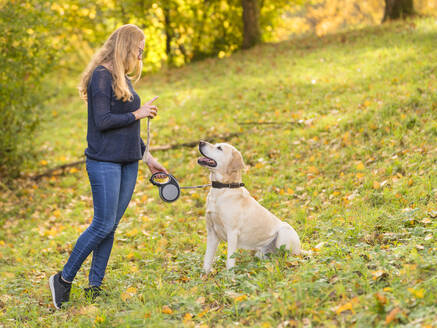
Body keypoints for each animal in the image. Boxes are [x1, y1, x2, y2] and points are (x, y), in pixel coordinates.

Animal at [198, 140, 304, 272]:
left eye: (219, 148)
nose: (200, 142)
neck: (223, 189)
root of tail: (301, 250)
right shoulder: (212, 232)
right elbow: (207, 260)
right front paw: (204, 275)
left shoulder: (232, 232)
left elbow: (229, 261)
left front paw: (229, 276)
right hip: (261, 253)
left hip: (284, 231)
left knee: (289, 257)